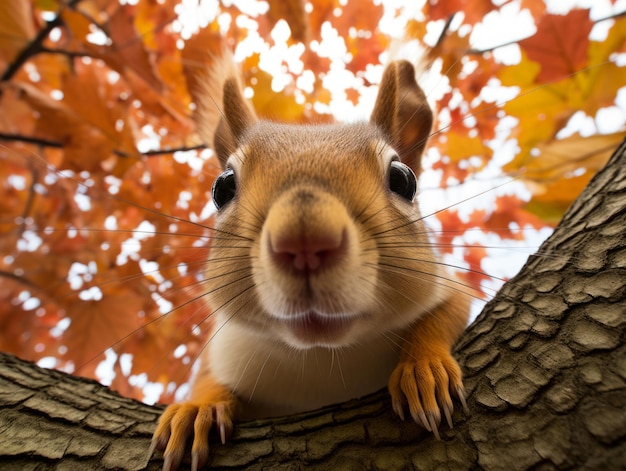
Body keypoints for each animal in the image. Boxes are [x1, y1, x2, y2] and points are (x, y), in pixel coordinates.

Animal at [147, 59, 468, 471]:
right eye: (222, 188)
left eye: (403, 180)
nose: (304, 241)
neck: (322, 359)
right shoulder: (225, 346)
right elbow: (207, 375)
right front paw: (196, 408)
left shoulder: (448, 286)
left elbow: (444, 314)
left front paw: (424, 368)